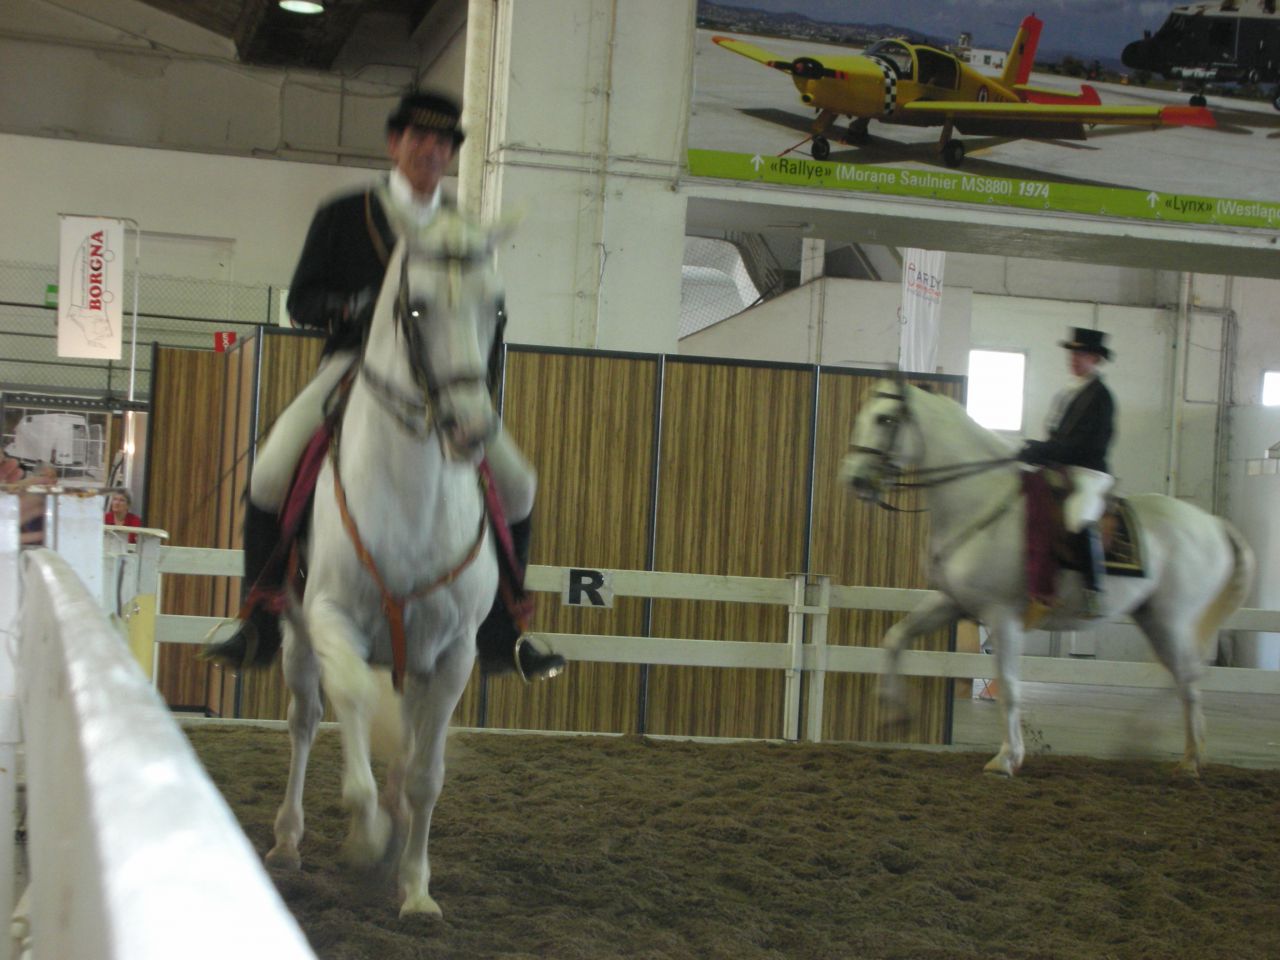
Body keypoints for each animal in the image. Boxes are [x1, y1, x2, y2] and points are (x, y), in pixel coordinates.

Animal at [262, 208, 505, 918]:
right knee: (306, 721)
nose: (469, 430)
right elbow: (351, 709)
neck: (415, 500)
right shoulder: (332, 620)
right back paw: (289, 842)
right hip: (297, 635)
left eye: (496, 308)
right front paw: (367, 838)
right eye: (416, 308)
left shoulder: (452, 656)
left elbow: (426, 776)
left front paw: (416, 889)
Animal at [840, 378, 1254, 778]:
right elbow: (895, 638)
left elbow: (1009, 686)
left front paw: (1007, 759)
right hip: (1152, 617)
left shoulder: (1001, 616)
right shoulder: (951, 602)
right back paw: (1161, 747)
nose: (855, 479)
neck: (978, 502)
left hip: (1171, 619)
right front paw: (893, 711)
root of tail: (1213, 523)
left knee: (1189, 677)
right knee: (1182, 676)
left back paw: (1182, 756)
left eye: (885, 419)